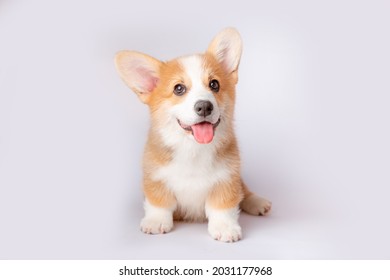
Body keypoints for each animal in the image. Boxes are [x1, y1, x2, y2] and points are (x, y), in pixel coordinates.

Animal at [114, 29, 270, 243]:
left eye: (214, 84)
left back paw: (258, 202)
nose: (204, 106)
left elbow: (223, 206)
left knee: (244, 191)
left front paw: (225, 228)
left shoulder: (228, 178)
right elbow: (158, 202)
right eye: (178, 88)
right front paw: (156, 222)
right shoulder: (154, 177)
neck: (193, 148)